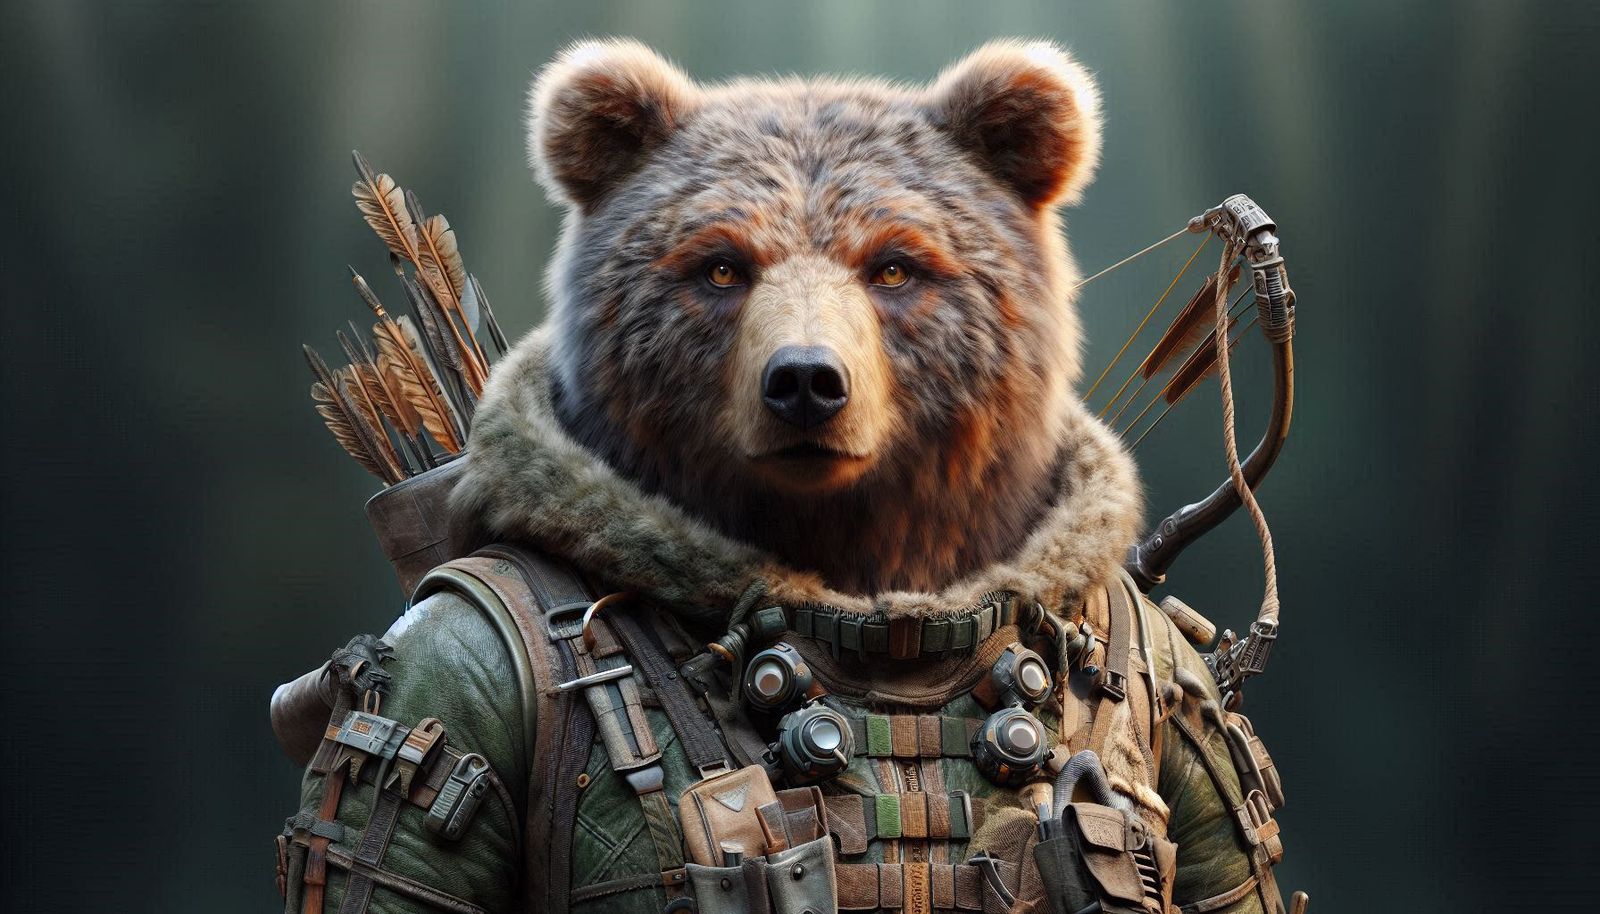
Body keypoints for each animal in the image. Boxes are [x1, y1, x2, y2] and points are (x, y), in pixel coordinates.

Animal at [277, 39, 1286, 914]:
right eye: (721, 267)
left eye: (895, 267)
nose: (805, 381)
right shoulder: (454, 668)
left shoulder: (1176, 682)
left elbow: (1228, 865)